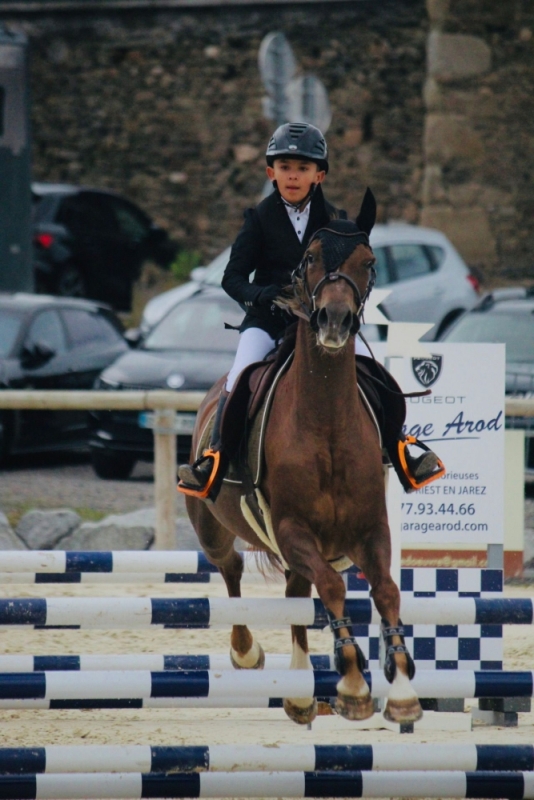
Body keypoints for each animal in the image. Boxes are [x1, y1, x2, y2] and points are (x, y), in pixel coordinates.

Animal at [186, 197, 426, 728]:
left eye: (369, 263)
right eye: (311, 258)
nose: (334, 321)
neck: (327, 424)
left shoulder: (369, 530)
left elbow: (386, 591)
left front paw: (400, 690)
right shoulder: (294, 529)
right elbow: (334, 587)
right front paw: (353, 684)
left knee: (296, 595)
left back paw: (298, 694)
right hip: (212, 524)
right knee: (231, 566)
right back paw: (247, 653)